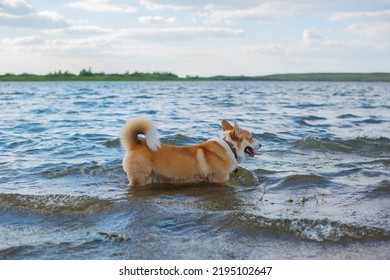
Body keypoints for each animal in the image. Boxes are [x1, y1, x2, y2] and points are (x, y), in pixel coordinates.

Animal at [121, 116, 262, 188]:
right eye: (251, 137)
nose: (261, 144)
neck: (229, 146)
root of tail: (137, 143)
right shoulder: (220, 179)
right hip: (140, 179)